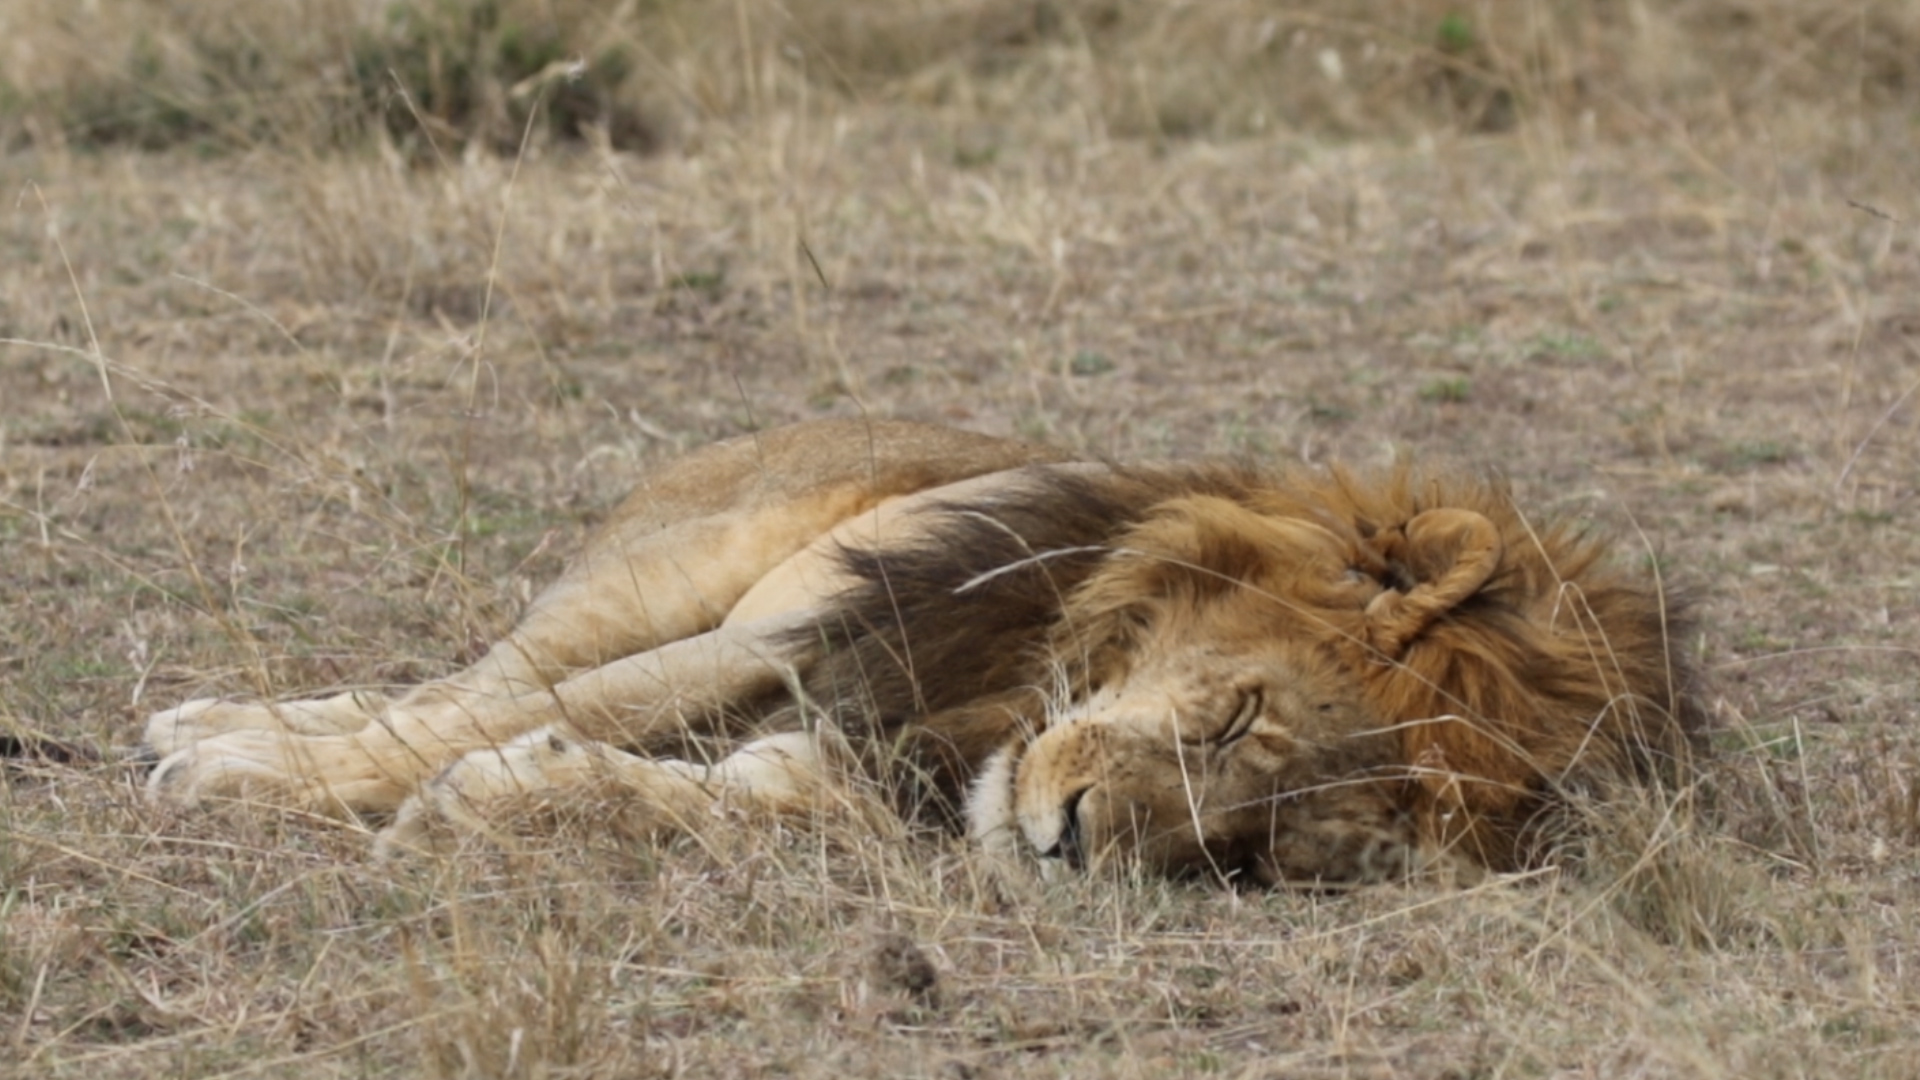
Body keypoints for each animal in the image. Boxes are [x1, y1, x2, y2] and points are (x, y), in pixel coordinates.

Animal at [153, 417, 1712, 880]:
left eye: (1256, 854)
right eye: (1230, 723)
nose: (1066, 845)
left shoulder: (868, 758)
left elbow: (704, 790)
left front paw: (507, 805)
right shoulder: (804, 639)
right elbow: (489, 722)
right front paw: (250, 777)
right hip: (676, 567)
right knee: (478, 678)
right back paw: (215, 727)